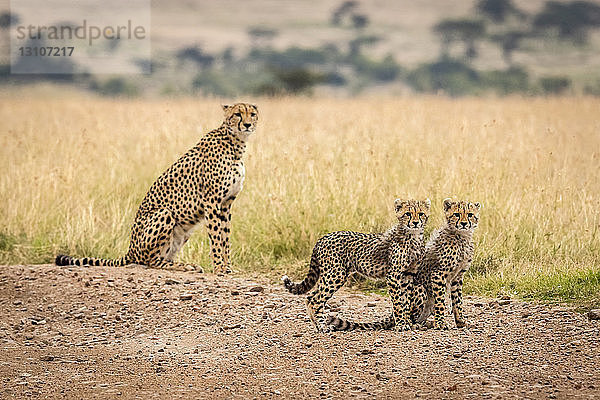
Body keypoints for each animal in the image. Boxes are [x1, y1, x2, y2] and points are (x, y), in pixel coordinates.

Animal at [56, 101, 260, 274]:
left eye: (252, 114)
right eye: (237, 114)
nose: (247, 125)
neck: (235, 142)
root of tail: (130, 250)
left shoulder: (226, 204)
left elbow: (225, 237)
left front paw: (228, 267)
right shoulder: (212, 202)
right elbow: (217, 238)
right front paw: (219, 269)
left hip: (182, 231)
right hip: (165, 213)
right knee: (150, 261)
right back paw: (185, 266)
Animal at [328, 198, 482, 332]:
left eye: (470, 215)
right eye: (457, 214)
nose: (464, 224)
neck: (462, 237)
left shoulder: (458, 276)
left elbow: (458, 301)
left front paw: (461, 322)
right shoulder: (438, 274)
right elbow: (440, 301)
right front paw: (441, 323)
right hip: (421, 289)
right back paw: (417, 324)